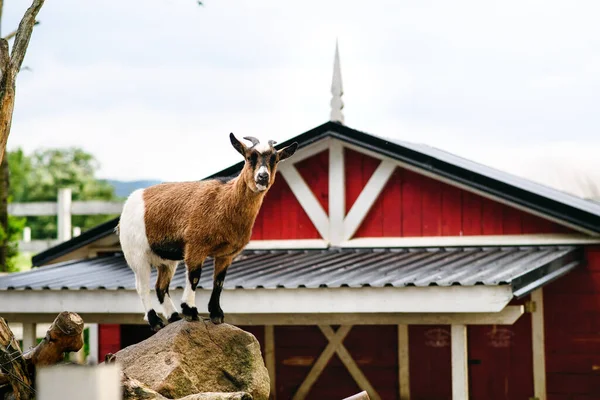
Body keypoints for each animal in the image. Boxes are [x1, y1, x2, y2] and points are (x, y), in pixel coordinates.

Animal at [116, 134, 296, 332]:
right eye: (249, 157)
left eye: (275, 159)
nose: (263, 177)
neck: (224, 200)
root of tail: (128, 204)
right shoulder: (196, 245)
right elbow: (195, 276)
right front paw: (190, 311)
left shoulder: (227, 254)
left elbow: (219, 281)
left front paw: (216, 314)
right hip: (136, 253)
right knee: (142, 286)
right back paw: (155, 321)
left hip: (166, 260)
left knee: (160, 287)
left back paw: (173, 316)